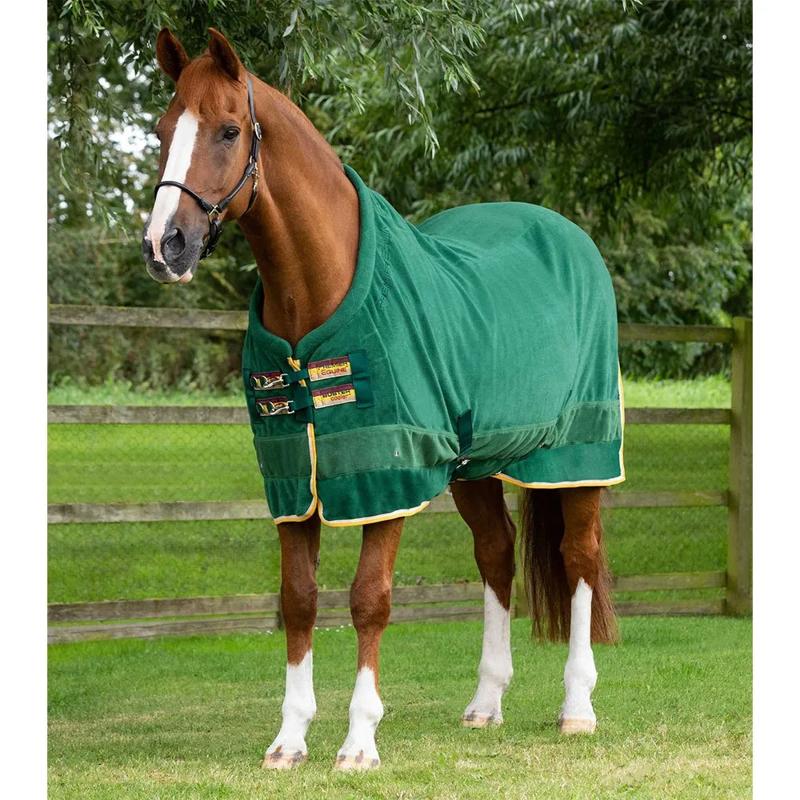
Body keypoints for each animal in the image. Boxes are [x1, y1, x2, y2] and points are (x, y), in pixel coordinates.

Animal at [141, 28, 622, 771]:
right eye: (164, 130)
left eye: (227, 130)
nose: (165, 246)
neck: (318, 291)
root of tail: (568, 237)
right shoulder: (295, 478)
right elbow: (299, 599)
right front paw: (289, 740)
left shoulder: (384, 470)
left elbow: (369, 599)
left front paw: (359, 742)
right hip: (476, 467)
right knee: (497, 553)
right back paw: (485, 704)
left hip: (577, 452)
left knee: (580, 559)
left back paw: (577, 708)